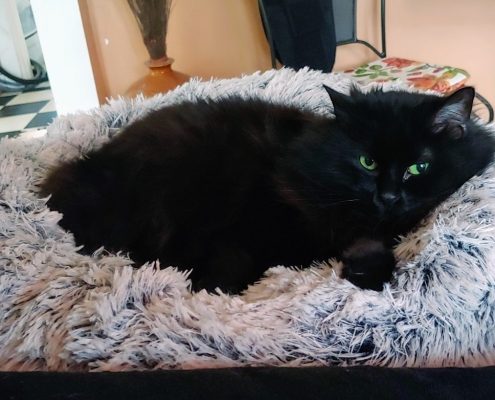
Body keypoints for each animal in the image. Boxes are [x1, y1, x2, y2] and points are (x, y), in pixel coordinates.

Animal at [39, 86, 495, 292]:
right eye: (368, 162)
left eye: (419, 167)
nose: (388, 197)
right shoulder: (243, 233)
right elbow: (229, 268)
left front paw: (365, 271)